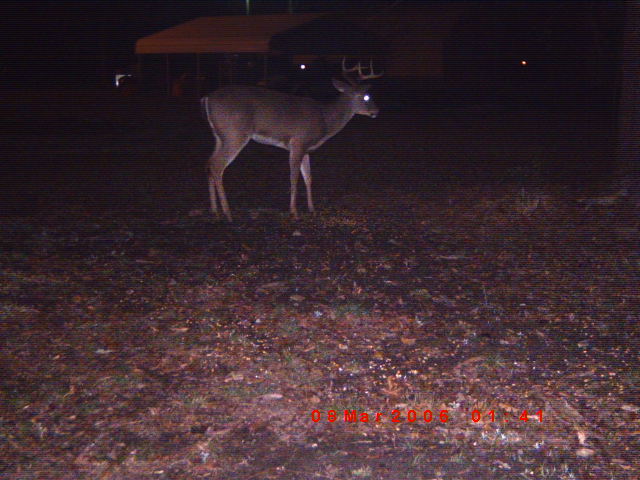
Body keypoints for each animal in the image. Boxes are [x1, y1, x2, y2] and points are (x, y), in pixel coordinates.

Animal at [201, 59, 383, 222]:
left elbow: (309, 178)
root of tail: (207, 98)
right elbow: (294, 177)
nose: (376, 111)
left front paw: (312, 209)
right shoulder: (298, 142)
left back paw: (214, 210)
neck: (325, 119)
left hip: (220, 136)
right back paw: (227, 213)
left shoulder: (307, 149)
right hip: (235, 133)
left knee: (209, 162)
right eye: (365, 96)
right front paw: (294, 213)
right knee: (217, 165)